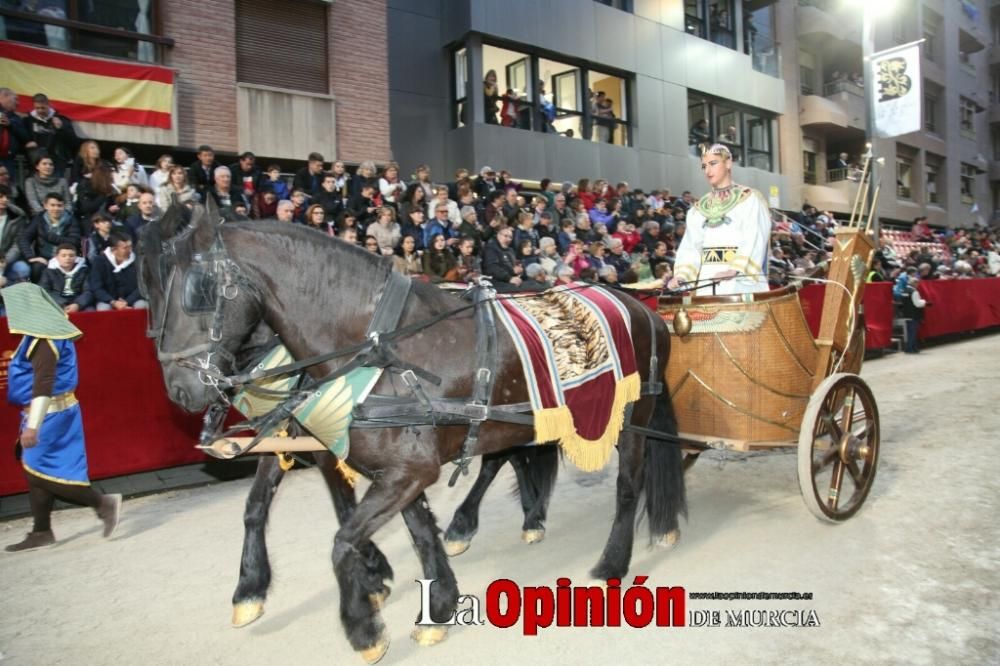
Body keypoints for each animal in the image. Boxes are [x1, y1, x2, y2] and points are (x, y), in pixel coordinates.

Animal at [143, 205, 688, 660]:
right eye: (148, 293)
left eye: (195, 292)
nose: (179, 389)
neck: (375, 345)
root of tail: (642, 307)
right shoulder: (380, 461)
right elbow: (403, 526)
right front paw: (434, 601)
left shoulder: (401, 468)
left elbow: (343, 537)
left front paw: (364, 623)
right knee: (504, 459)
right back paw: (500, 522)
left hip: (631, 414)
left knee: (628, 485)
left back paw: (612, 562)